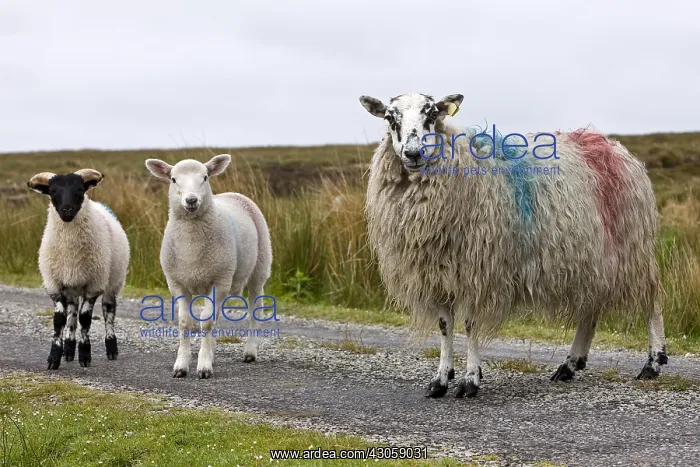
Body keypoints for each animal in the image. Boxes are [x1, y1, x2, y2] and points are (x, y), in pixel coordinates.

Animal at [28, 169, 130, 370]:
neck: (70, 253)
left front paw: (84, 355)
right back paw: (68, 350)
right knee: (72, 316)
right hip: (72, 287)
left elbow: (85, 319)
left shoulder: (94, 285)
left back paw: (111, 348)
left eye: (80, 189)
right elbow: (60, 320)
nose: (67, 210)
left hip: (112, 281)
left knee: (108, 311)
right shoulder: (54, 284)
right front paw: (54, 357)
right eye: (52, 191)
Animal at [145, 154, 272, 379]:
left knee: (254, 307)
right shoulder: (177, 283)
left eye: (205, 177)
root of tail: (233, 193)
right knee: (217, 314)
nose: (191, 200)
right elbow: (186, 322)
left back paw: (250, 351)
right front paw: (181, 365)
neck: (191, 247)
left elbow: (206, 322)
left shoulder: (218, 281)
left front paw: (203, 366)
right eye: (173, 179)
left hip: (259, 267)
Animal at [359, 92, 666, 398]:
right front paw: (441, 380)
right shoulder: (438, 274)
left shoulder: (477, 270)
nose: (413, 154)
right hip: (593, 256)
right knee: (591, 305)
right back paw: (570, 364)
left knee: (651, 298)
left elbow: (470, 324)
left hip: (632, 247)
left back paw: (653, 363)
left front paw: (470, 380)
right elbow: (445, 326)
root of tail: (610, 145)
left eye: (432, 114)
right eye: (390, 118)